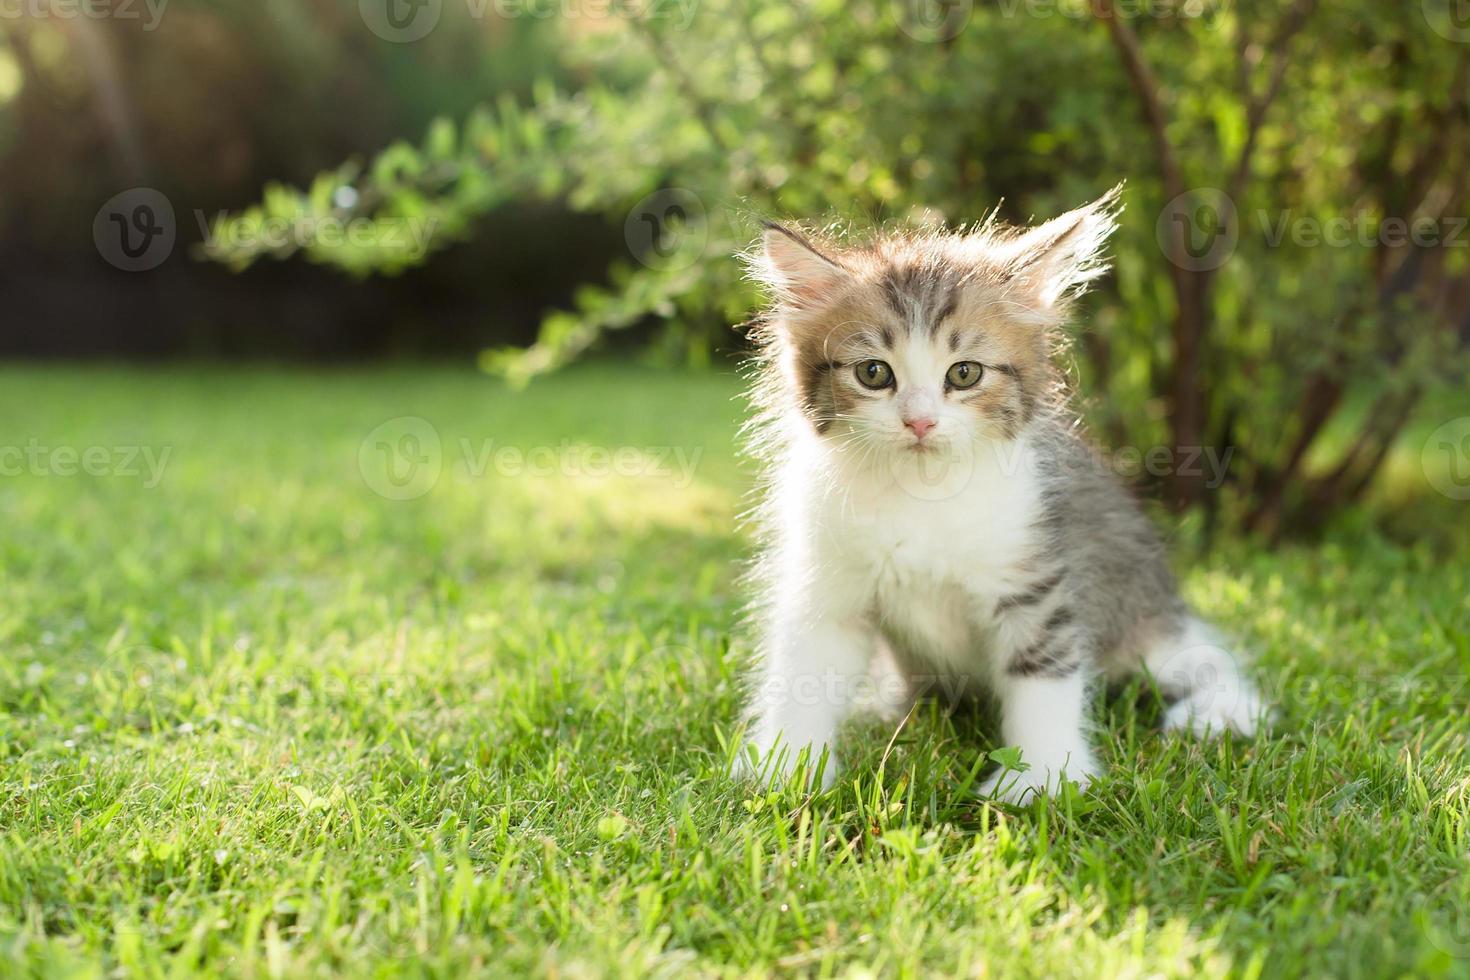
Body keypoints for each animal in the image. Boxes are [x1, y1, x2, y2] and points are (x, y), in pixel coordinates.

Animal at [729, 188, 1270, 799]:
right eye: (873, 373)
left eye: (964, 374)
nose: (919, 422)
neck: (922, 494)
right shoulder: (829, 584)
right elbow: (804, 673)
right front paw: (787, 766)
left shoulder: (1035, 576)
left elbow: (1042, 673)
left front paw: (1041, 777)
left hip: (1145, 626)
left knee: (1210, 660)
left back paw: (1221, 714)